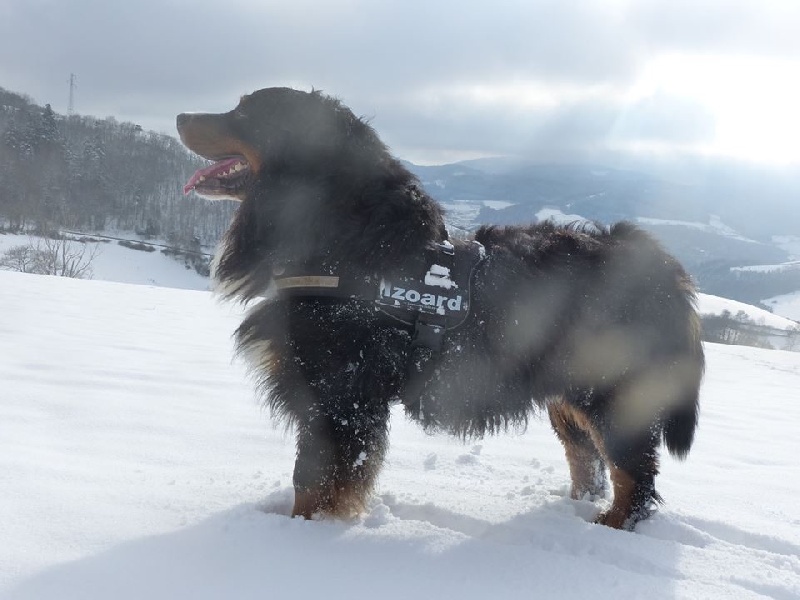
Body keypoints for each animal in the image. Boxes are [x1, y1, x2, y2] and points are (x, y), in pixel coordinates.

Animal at [178, 86, 704, 528]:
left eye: (247, 112)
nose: (181, 115)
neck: (345, 244)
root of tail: (657, 263)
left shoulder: (339, 395)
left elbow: (311, 480)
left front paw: (300, 535)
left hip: (612, 394)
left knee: (635, 474)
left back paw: (609, 526)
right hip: (568, 393)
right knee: (587, 460)